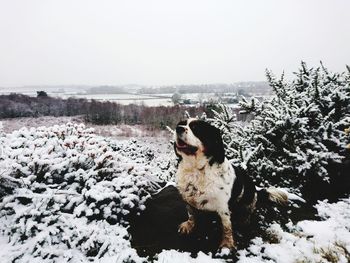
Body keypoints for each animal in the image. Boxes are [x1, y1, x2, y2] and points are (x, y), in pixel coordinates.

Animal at [174, 118, 288, 251]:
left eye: (196, 128)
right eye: (181, 124)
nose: (178, 128)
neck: (196, 170)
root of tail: (257, 192)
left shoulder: (223, 206)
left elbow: (227, 226)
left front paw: (227, 243)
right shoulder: (188, 199)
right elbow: (191, 214)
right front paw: (189, 225)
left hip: (248, 200)